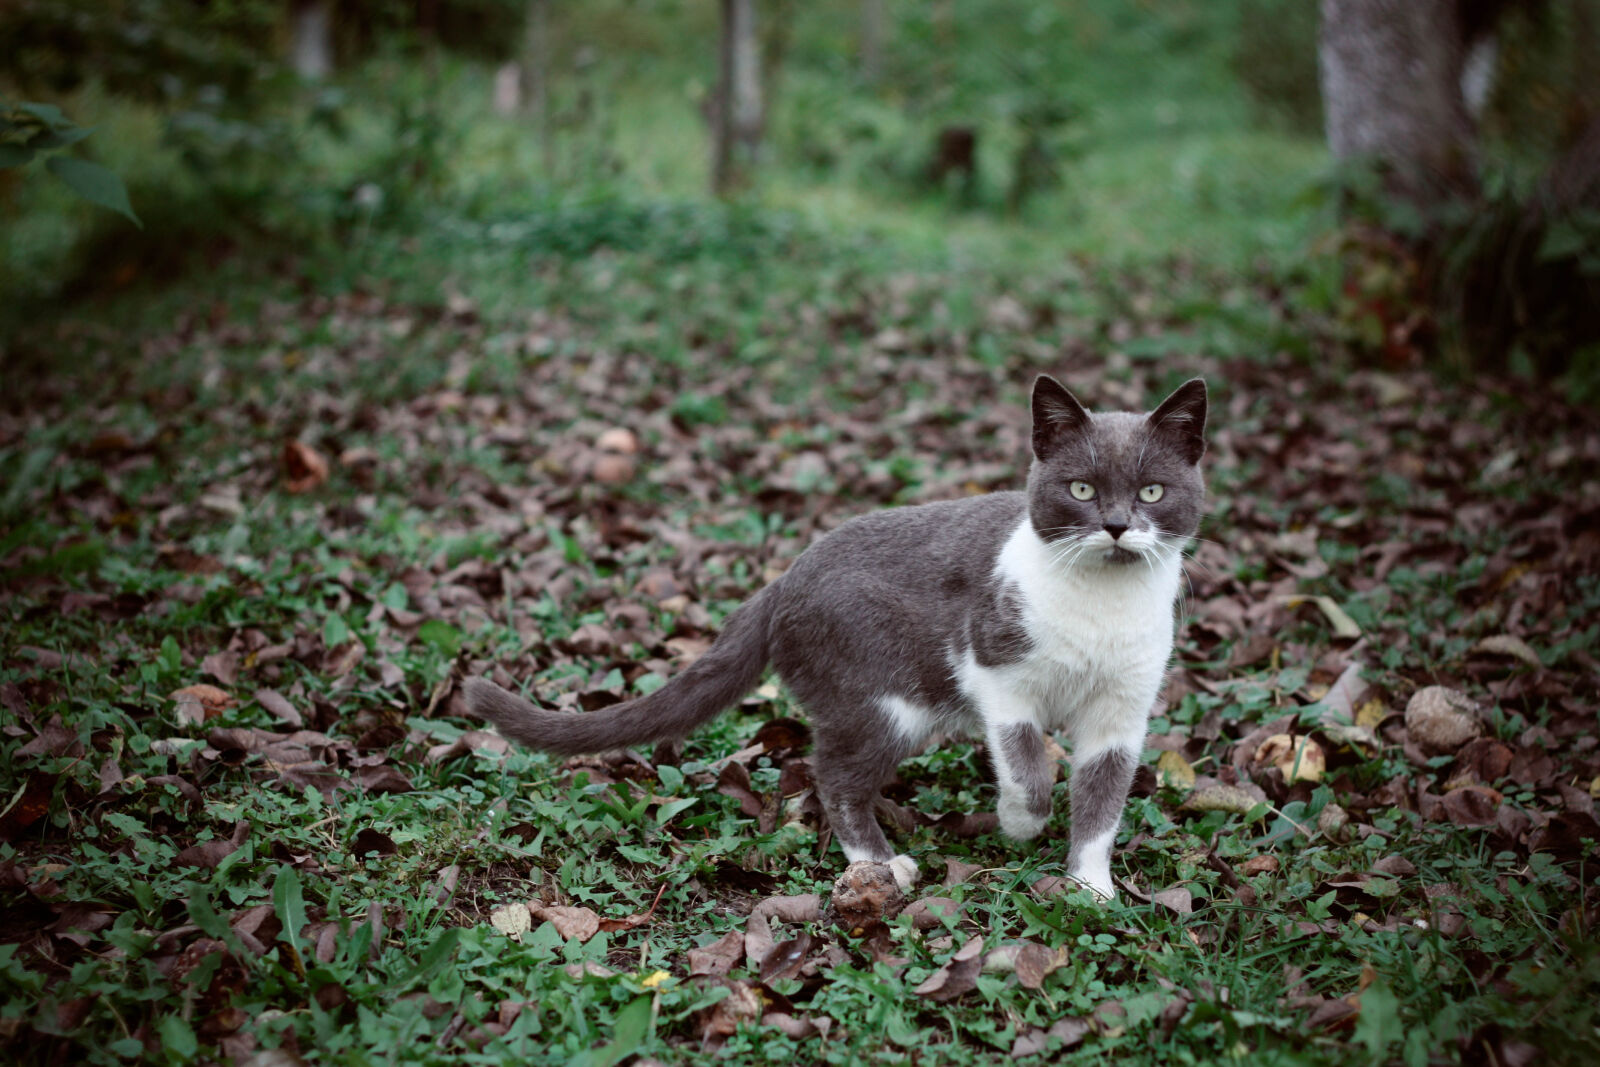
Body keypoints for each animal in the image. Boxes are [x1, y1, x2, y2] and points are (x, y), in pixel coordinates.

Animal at [460, 375, 1203, 902]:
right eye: (1080, 489)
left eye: (1152, 491)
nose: (1115, 525)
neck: (1101, 609)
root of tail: (783, 580)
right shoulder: (994, 666)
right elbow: (1028, 768)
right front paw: (1020, 823)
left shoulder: (1123, 709)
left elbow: (1103, 797)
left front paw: (1091, 887)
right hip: (880, 689)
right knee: (834, 774)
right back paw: (881, 863)